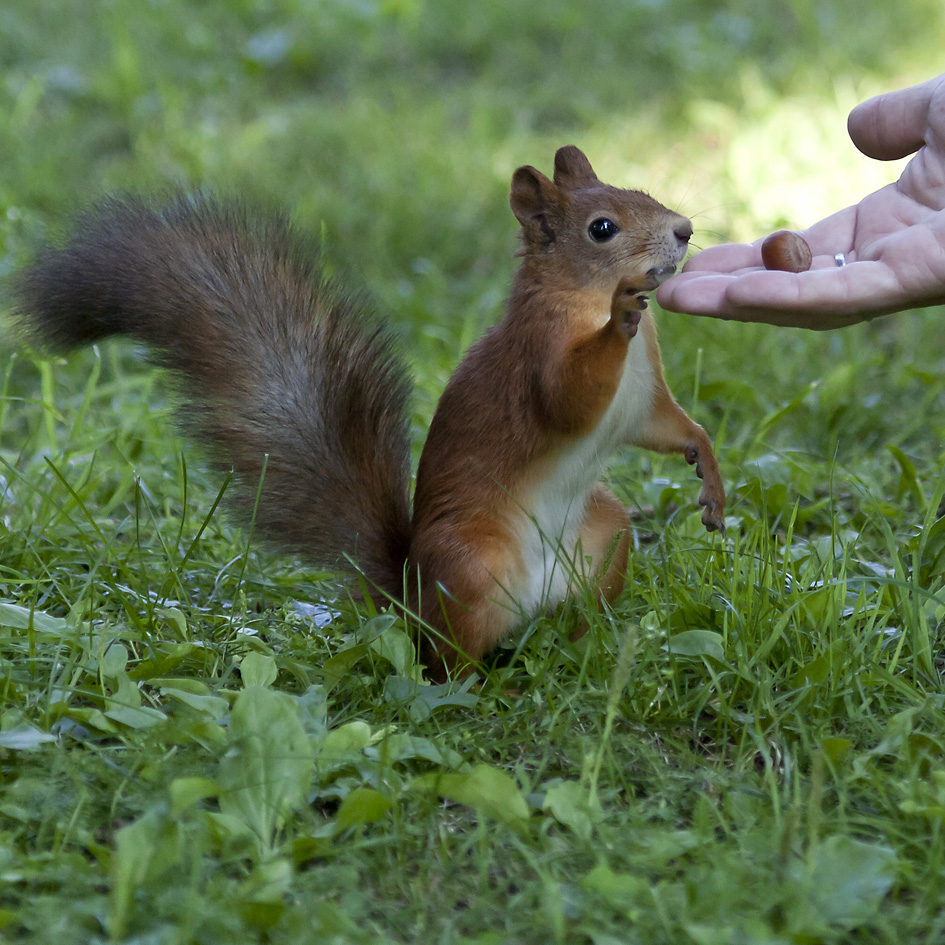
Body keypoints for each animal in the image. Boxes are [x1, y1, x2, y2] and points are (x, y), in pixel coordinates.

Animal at [12, 146, 724, 680]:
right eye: (602, 227)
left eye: (641, 190)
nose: (686, 229)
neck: (584, 297)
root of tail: (408, 595)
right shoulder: (540, 355)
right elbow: (570, 396)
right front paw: (619, 315)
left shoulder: (643, 402)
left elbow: (670, 426)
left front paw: (709, 475)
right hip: (471, 566)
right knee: (447, 661)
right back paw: (482, 688)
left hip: (604, 536)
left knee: (569, 613)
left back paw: (588, 648)